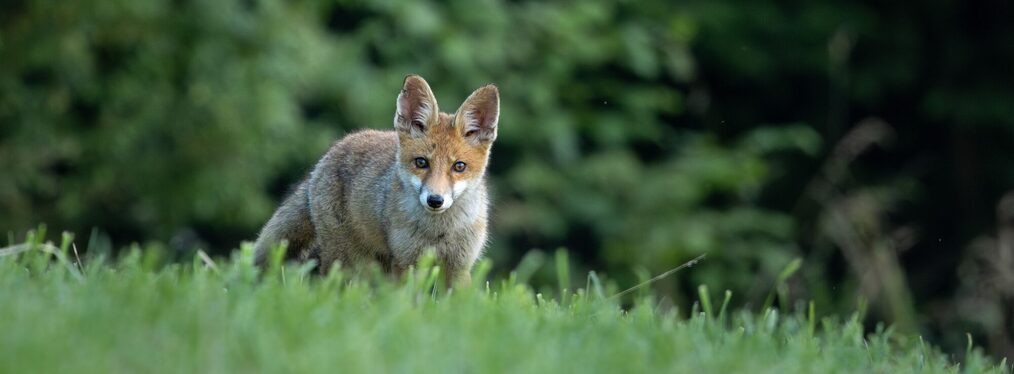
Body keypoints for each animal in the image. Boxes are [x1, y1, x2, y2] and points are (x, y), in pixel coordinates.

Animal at [249, 74, 494, 283]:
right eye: (421, 162)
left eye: (459, 166)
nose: (435, 200)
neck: (438, 232)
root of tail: (329, 154)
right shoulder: (405, 263)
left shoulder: (459, 267)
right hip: (346, 260)